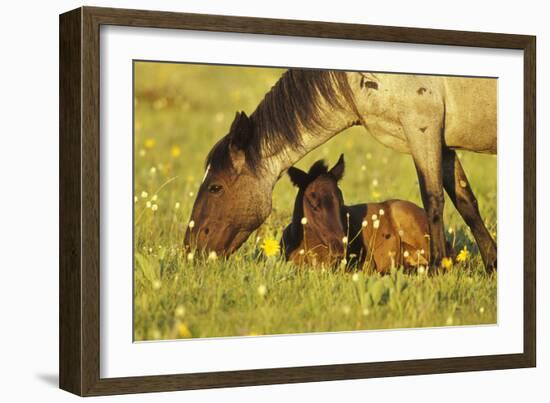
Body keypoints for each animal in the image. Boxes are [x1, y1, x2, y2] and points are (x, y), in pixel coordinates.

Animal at [185, 68, 500, 272]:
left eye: (215, 187)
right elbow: (466, 202)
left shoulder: (422, 129)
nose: (190, 248)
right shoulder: (441, 142)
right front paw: (492, 265)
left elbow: (433, 198)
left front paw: (437, 268)